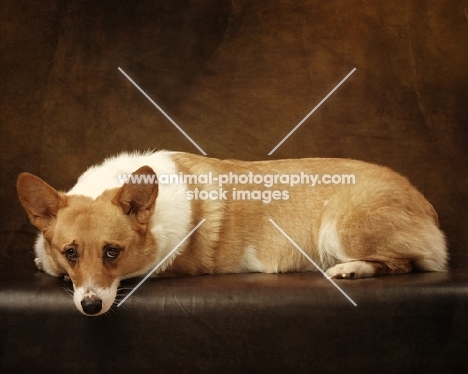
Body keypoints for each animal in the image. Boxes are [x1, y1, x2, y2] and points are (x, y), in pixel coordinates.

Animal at [16, 150, 448, 314]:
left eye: (113, 252)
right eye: (71, 252)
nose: (90, 307)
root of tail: (424, 200)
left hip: (340, 229)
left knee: (408, 263)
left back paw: (352, 269)